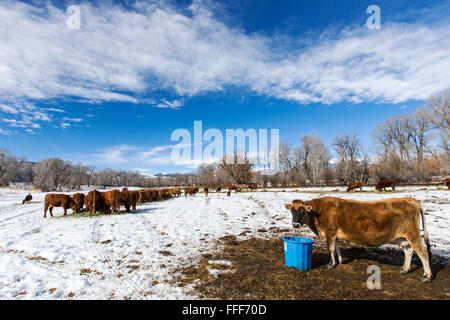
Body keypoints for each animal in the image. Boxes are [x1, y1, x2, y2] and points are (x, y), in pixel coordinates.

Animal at [284, 196, 432, 282]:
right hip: (403, 237)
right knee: (409, 251)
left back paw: (427, 276)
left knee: (423, 252)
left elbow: (330, 248)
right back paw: (405, 269)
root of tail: (410, 199)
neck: (317, 213)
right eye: (292, 210)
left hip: (413, 234)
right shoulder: (335, 234)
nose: (295, 224)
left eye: (302, 210)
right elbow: (337, 247)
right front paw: (340, 261)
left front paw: (331, 264)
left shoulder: (330, 232)